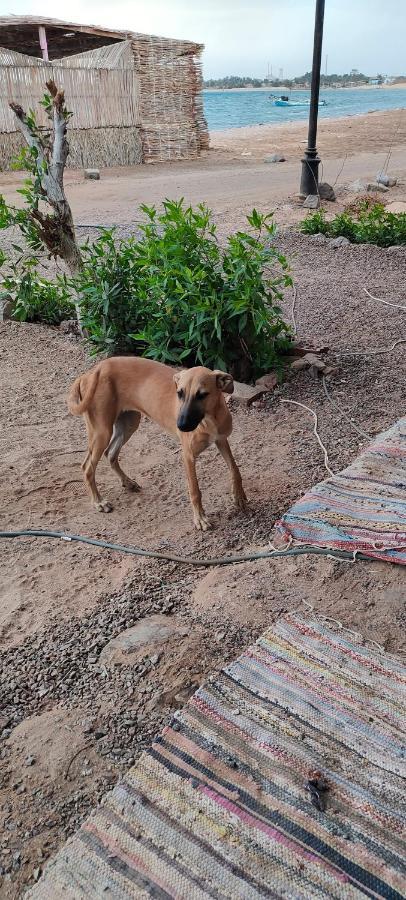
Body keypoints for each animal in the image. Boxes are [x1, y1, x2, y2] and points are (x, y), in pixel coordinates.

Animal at [67, 356, 247, 532]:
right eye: (179, 393)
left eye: (202, 395)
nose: (181, 426)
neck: (210, 418)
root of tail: (92, 372)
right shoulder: (188, 456)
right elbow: (195, 490)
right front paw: (200, 519)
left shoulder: (221, 440)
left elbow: (234, 468)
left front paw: (239, 495)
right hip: (101, 431)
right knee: (87, 467)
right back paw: (98, 501)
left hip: (129, 423)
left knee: (110, 453)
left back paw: (127, 482)